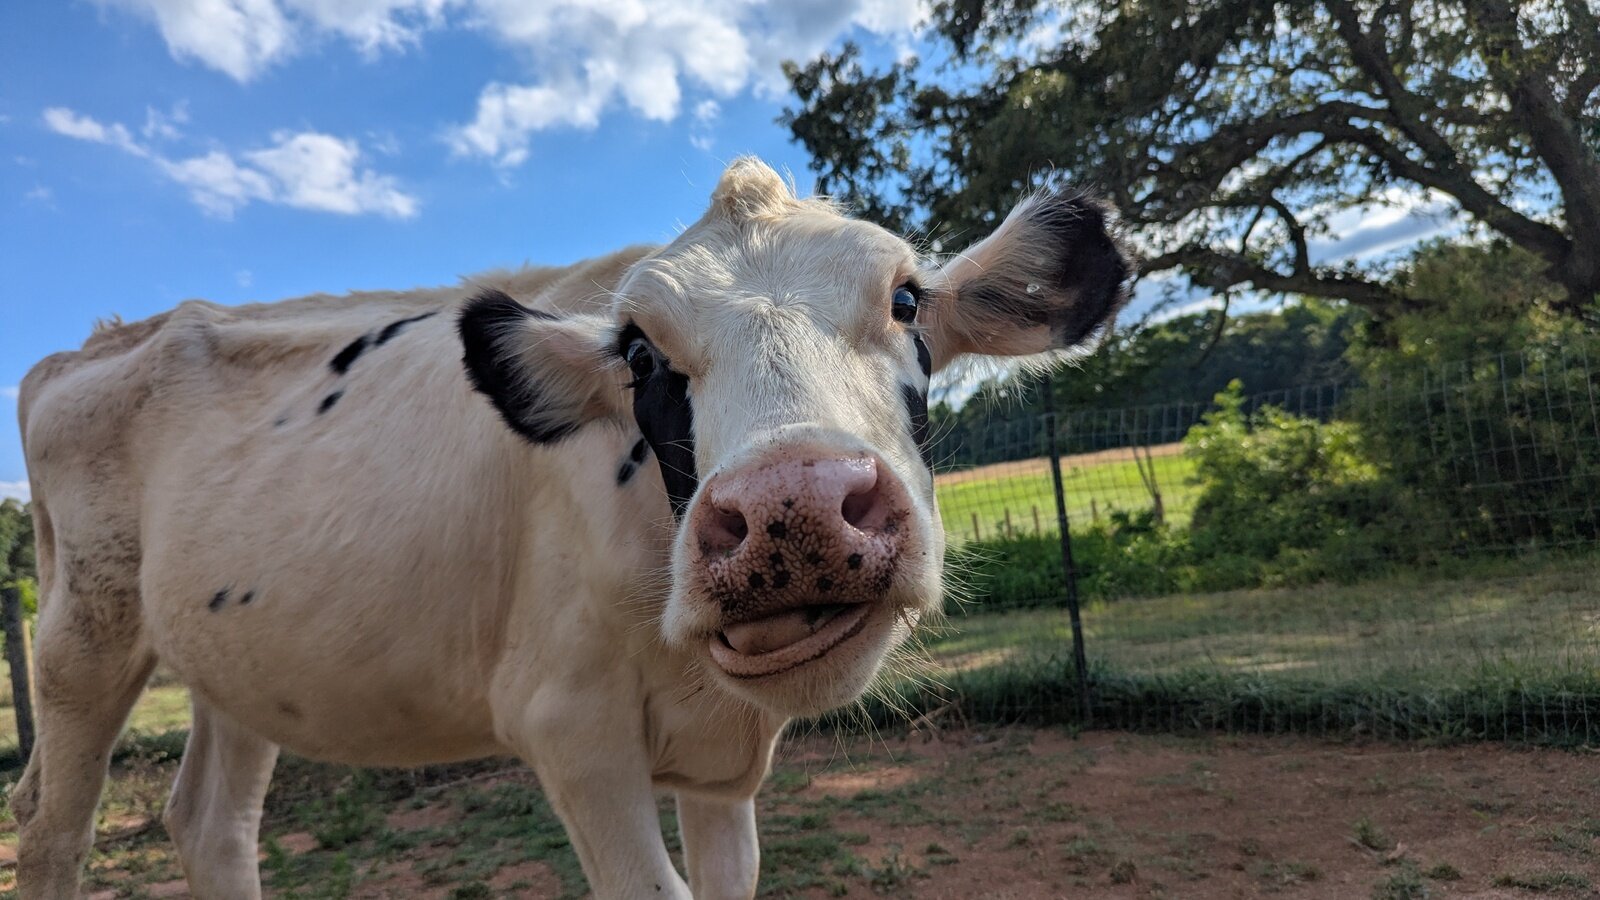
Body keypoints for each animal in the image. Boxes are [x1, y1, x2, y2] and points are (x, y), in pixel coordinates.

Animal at [11, 158, 1129, 898]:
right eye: (637, 354)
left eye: (905, 300)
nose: (794, 508)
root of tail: (106, 340)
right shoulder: (568, 721)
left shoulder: (723, 762)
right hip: (83, 631)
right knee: (54, 826)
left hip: (236, 652)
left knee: (211, 822)